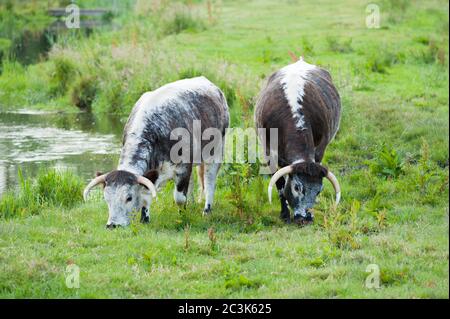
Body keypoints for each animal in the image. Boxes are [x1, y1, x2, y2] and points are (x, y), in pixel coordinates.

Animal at [83, 76, 229, 229]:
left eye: (129, 198)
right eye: (106, 198)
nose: (112, 225)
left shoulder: (183, 167)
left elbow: (179, 198)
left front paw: (183, 216)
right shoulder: (151, 174)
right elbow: (146, 195)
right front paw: (145, 219)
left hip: (217, 150)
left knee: (209, 179)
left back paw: (207, 210)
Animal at [253, 58, 342, 226]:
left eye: (318, 191)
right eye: (297, 187)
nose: (305, 218)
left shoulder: (319, 151)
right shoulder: (269, 153)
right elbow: (280, 185)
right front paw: (284, 214)